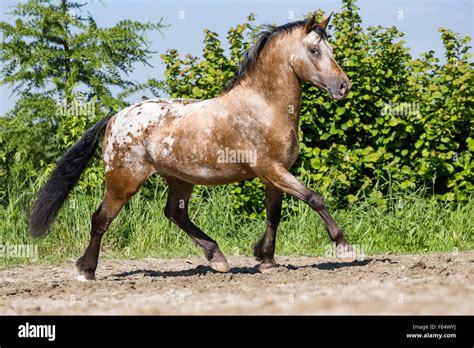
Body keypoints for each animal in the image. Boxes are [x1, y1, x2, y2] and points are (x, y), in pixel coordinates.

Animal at [29, 13, 352, 280]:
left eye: (331, 50)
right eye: (314, 51)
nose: (343, 87)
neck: (262, 107)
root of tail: (115, 118)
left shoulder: (274, 175)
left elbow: (274, 216)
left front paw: (266, 260)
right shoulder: (270, 170)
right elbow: (314, 198)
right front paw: (343, 246)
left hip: (179, 179)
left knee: (175, 213)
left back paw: (217, 258)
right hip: (123, 181)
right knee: (101, 219)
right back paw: (86, 270)